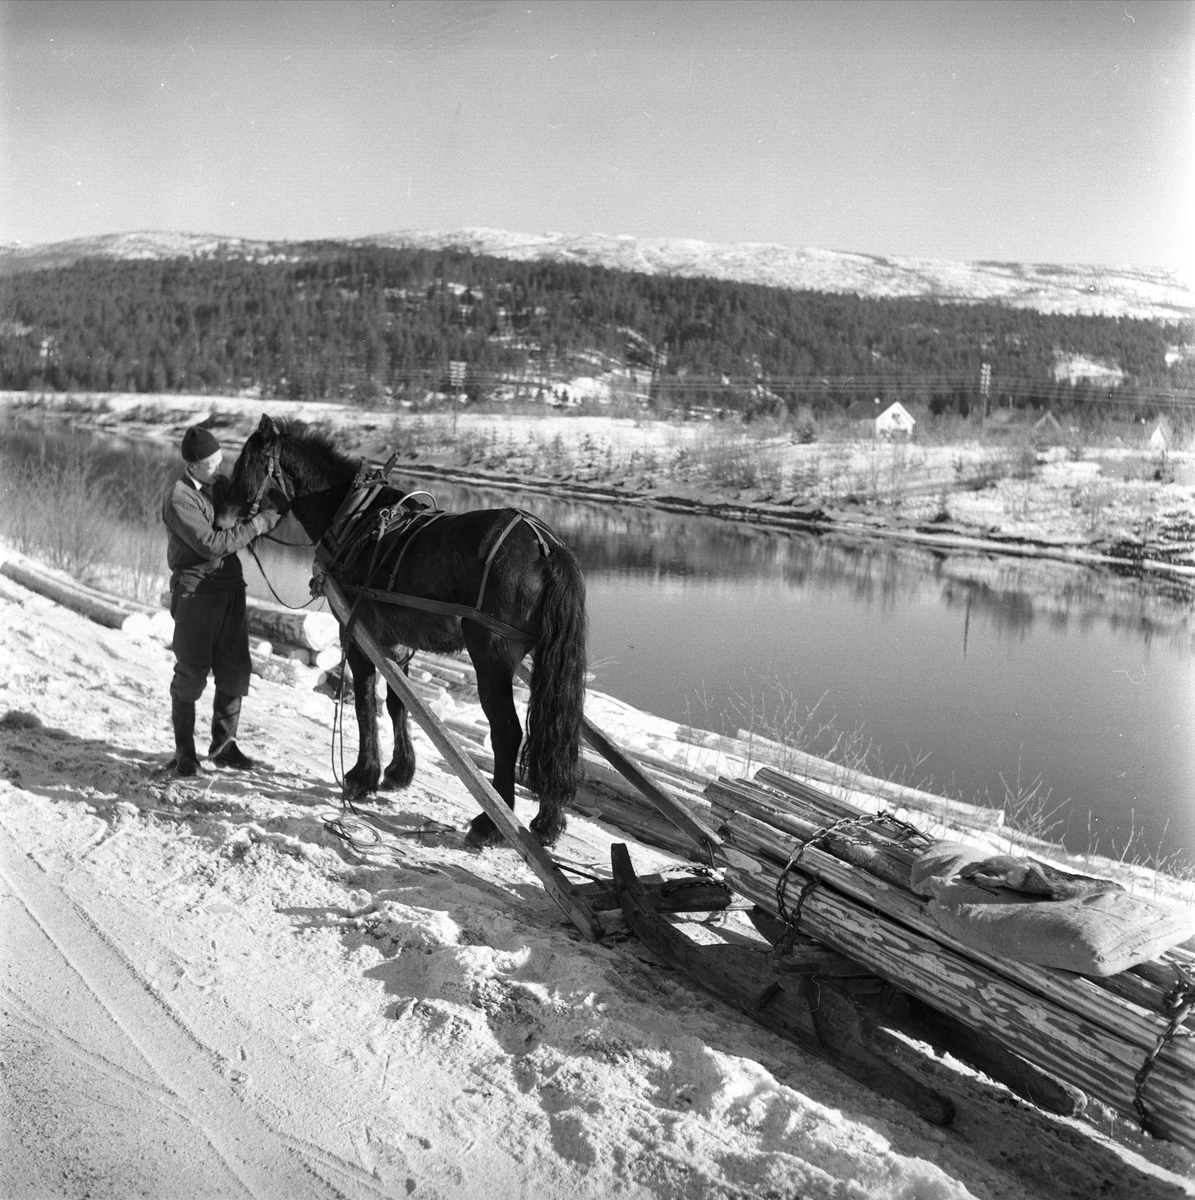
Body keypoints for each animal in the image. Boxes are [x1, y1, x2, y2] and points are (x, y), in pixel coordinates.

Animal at [223, 417, 587, 849]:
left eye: (246, 461)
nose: (220, 514)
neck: (354, 519)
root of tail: (546, 545)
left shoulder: (356, 635)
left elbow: (365, 704)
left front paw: (362, 775)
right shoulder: (396, 643)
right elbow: (398, 704)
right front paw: (398, 771)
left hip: (491, 659)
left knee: (508, 735)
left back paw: (490, 823)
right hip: (544, 661)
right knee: (555, 733)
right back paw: (546, 822)